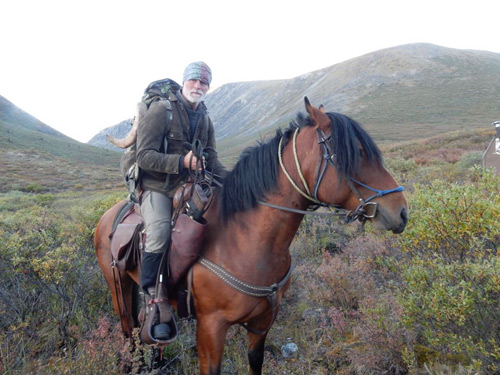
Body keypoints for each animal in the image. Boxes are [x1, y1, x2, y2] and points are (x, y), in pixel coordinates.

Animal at [94, 98, 406, 374]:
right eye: (353, 153)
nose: (401, 212)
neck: (247, 242)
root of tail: (108, 215)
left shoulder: (263, 321)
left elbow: (256, 361)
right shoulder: (210, 327)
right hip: (119, 287)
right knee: (129, 333)